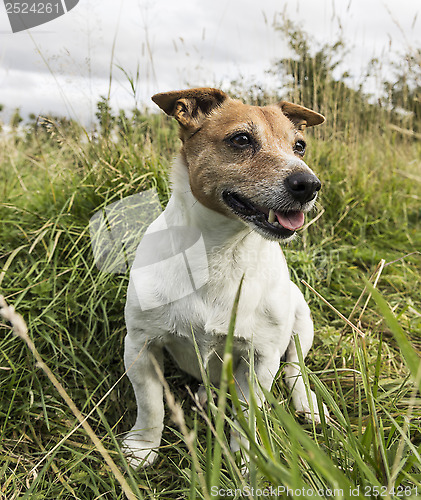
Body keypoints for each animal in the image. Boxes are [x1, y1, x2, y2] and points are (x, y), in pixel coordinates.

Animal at [121, 88, 328, 466]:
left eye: (300, 146)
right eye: (241, 139)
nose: (309, 184)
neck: (222, 252)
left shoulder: (261, 359)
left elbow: (248, 415)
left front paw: (247, 459)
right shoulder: (140, 346)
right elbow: (151, 405)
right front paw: (142, 447)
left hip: (301, 320)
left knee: (295, 367)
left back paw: (307, 403)